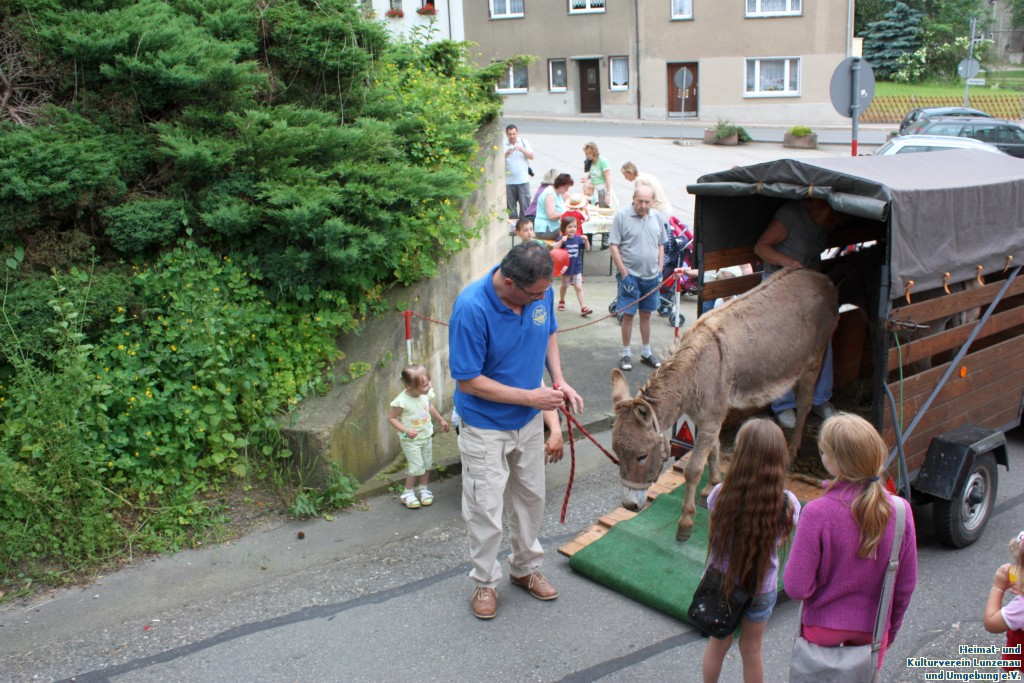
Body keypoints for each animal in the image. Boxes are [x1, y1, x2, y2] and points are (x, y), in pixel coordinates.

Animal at [610, 268, 839, 541]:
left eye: (642, 456)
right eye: (616, 453)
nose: (629, 505)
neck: (693, 373)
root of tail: (819, 277)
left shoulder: (709, 420)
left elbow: (693, 469)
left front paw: (686, 522)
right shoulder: (710, 417)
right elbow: (715, 449)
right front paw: (711, 487)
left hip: (814, 358)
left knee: (805, 404)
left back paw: (793, 449)